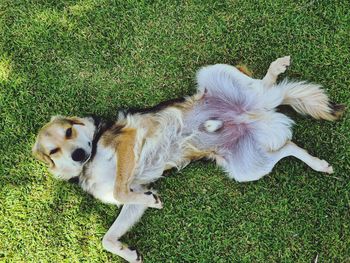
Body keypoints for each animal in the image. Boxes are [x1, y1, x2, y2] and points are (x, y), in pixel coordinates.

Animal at [31, 56, 344, 262]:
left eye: (69, 131)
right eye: (53, 151)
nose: (78, 154)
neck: (92, 156)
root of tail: (254, 111)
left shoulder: (127, 142)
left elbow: (121, 189)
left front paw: (153, 203)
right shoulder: (134, 194)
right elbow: (108, 236)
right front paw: (127, 252)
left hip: (212, 72)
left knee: (263, 86)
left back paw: (277, 67)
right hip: (247, 168)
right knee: (288, 145)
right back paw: (319, 164)